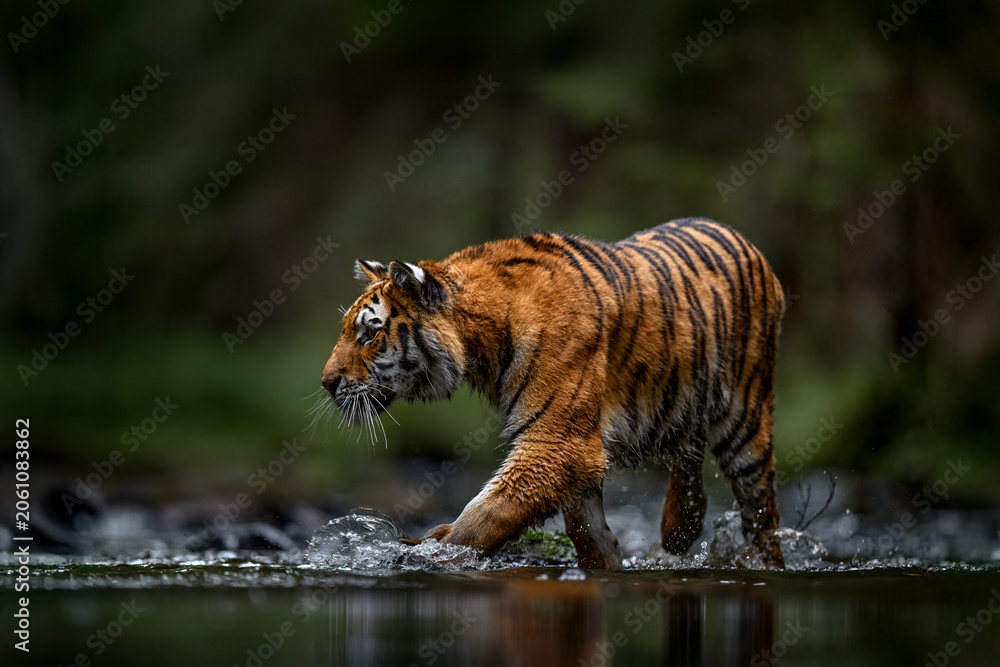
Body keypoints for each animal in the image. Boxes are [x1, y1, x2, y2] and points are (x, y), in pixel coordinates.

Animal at [321, 217, 786, 569]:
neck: (483, 342)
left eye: (369, 333)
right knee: (689, 470)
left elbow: (494, 508)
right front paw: (606, 565)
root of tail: (746, 241)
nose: (326, 383)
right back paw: (678, 530)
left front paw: (433, 552)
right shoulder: (572, 445)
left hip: (747, 421)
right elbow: (586, 527)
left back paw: (764, 563)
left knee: (763, 515)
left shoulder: (558, 441)